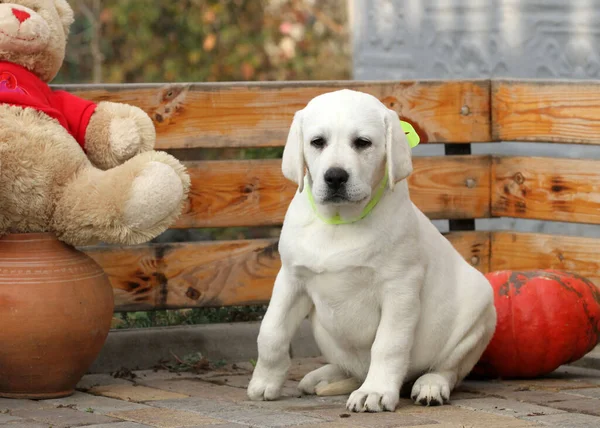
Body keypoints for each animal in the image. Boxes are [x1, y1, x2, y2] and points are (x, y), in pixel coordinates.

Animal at [246, 89, 494, 412]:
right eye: (317, 142)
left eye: (362, 142)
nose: (335, 176)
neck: (339, 222)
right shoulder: (291, 279)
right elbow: (271, 333)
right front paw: (264, 383)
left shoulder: (400, 288)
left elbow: (388, 345)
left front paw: (374, 392)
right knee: (349, 368)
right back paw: (322, 377)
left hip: (477, 316)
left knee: (448, 369)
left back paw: (430, 386)